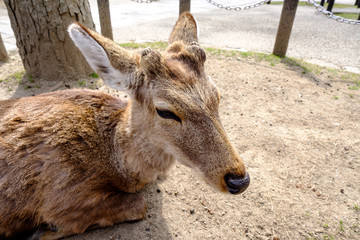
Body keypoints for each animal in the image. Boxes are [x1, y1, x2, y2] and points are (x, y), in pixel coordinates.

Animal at [0, 12, 249, 240]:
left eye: (218, 95)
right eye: (165, 111)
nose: (239, 180)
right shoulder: (60, 195)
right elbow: (139, 204)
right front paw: (45, 230)